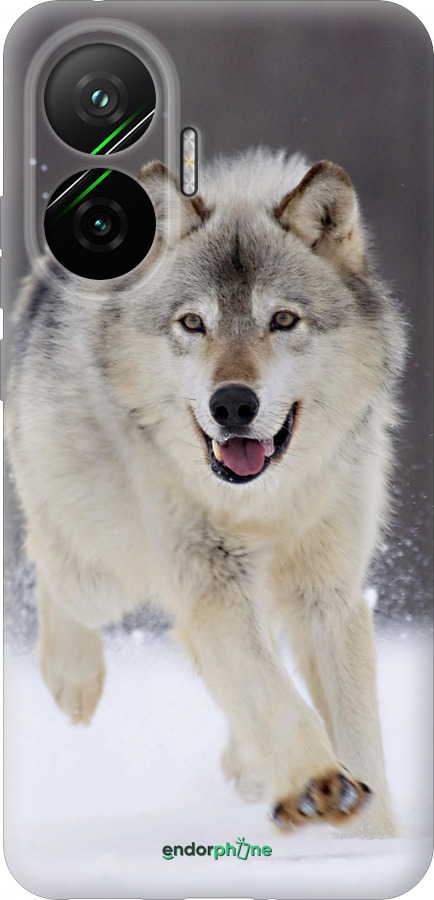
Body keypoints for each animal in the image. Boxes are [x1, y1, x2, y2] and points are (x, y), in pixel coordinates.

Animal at [6, 148, 406, 837]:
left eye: (283, 320)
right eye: (193, 322)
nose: (233, 404)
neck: (263, 503)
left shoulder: (327, 594)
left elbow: (355, 733)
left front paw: (369, 835)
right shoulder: (211, 579)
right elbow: (275, 696)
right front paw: (318, 783)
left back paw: (248, 767)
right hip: (101, 571)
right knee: (51, 565)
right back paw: (73, 680)